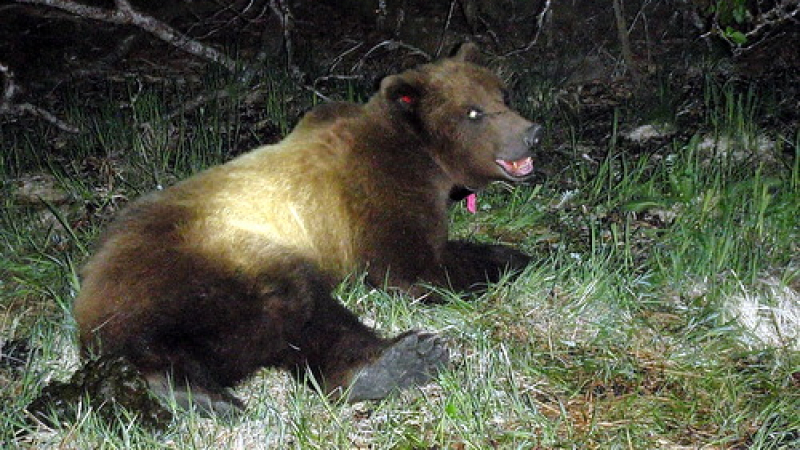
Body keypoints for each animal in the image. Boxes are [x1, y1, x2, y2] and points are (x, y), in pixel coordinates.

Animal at [72, 43, 540, 414]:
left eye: (503, 94)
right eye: (473, 111)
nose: (531, 133)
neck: (425, 158)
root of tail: (90, 294)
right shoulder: (377, 191)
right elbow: (413, 267)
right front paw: (523, 257)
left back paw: (192, 394)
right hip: (206, 258)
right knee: (297, 303)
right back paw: (397, 360)